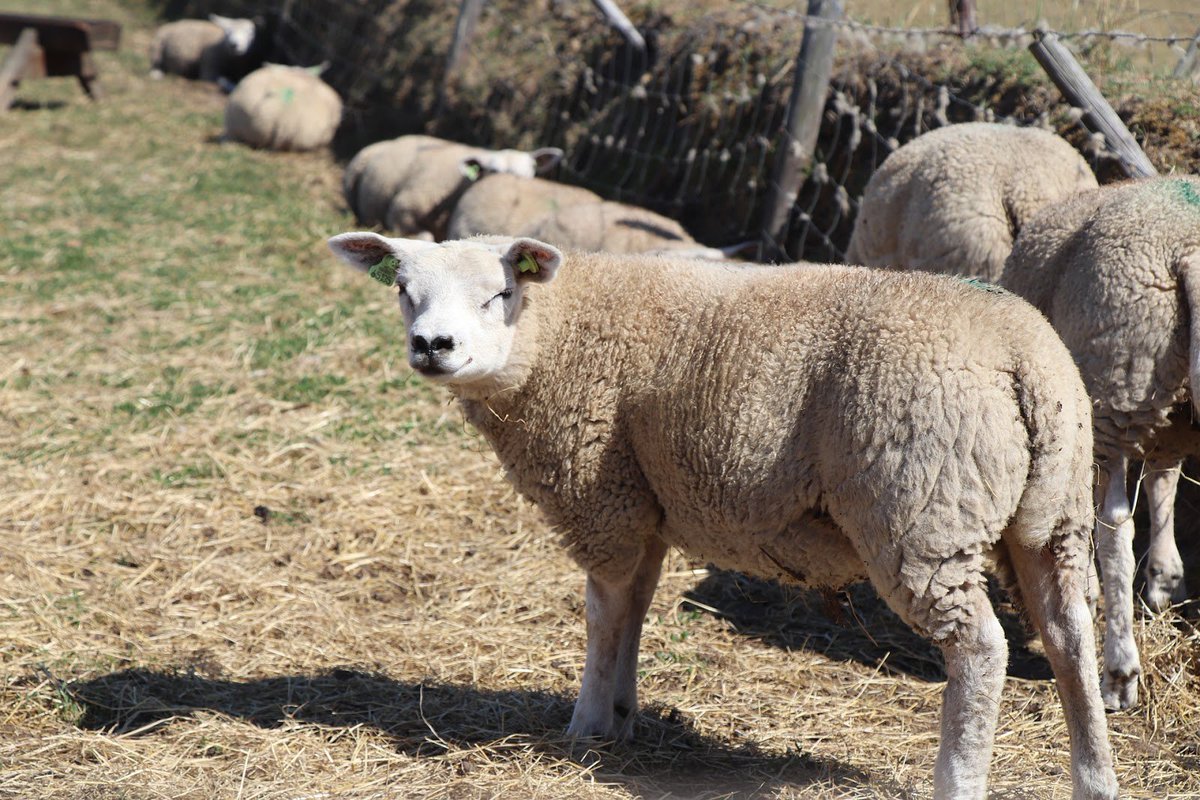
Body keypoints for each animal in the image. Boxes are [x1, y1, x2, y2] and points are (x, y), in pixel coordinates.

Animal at [326, 232, 1119, 800]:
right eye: (403, 291)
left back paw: (958, 780)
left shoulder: (601, 498)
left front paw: (587, 725)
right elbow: (637, 606)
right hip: (1051, 517)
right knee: (1069, 634)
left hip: (923, 512)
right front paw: (622, 716)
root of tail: (1026, 357)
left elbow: (603, 613)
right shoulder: (644, 499)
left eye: (499, 293)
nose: (432, 346)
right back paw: (1095, 777)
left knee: (981, 649)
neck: (555, 332)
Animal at [1001, 175, 1200, 712]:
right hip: (1140, 388)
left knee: (1113, 531)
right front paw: (1164, 583)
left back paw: (1118, 673)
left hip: (1113, 386)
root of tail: (1190, 255)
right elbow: (1164, 485)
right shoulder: (1170, 426)